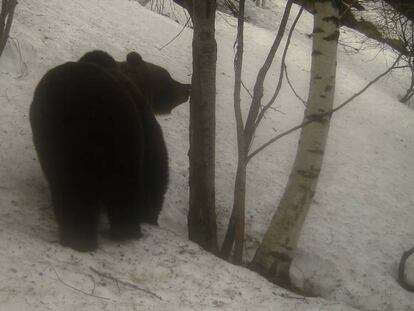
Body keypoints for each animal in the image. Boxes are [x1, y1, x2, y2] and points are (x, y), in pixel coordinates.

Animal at [29, 50, 190, 252]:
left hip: (69, 141)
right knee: (121, 188)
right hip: (119, 142)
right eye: (168, 77)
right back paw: (120, 231)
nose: (188, 88)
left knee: (76, 189)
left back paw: (81, 238)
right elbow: (156, 169)